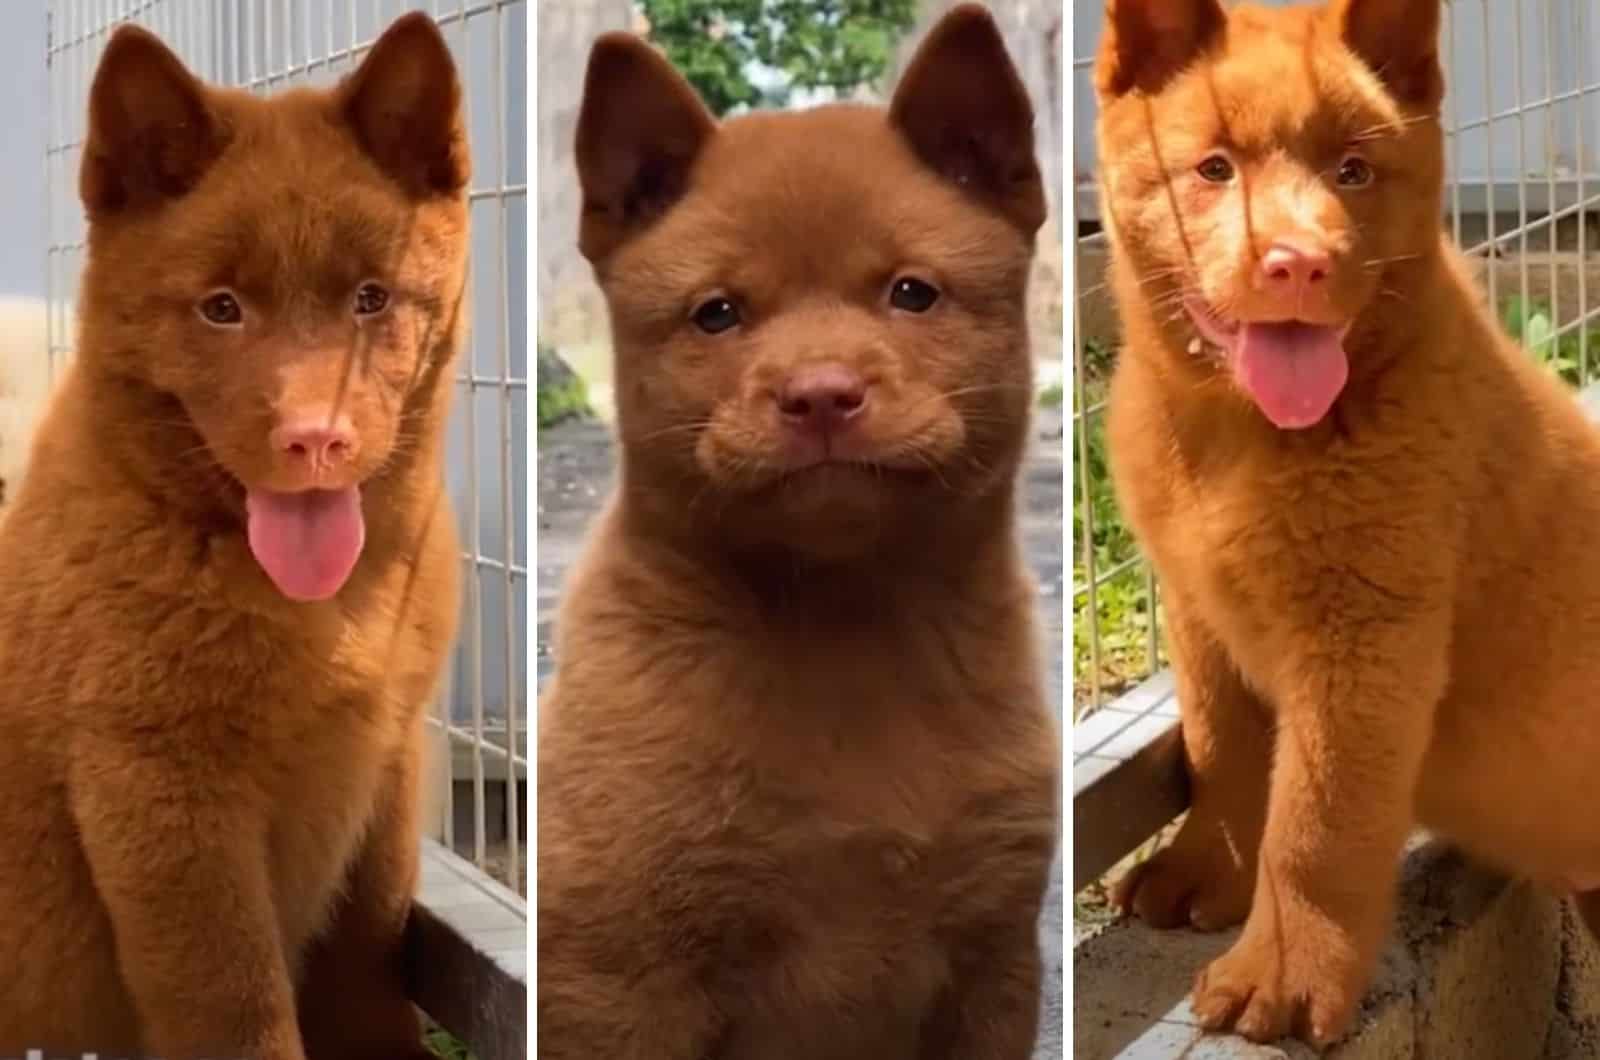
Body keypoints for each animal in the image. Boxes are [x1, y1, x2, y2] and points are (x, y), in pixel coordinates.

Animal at [0, 10, 467, 1060]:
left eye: (372, 298)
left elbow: (368, 948)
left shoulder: (386, 759)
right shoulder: (160, 792)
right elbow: (234, 1002)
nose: (316, 438)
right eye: (221, 308)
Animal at [534, 4, 1062, 1056]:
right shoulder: (619, 983)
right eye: (717, 314)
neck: (840, 625)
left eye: (912, 293)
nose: (820, 394)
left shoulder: (993, 962)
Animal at [1100, 0, 1600, 1050]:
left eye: (1355, 172)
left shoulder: (1367, 636)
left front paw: (1280, 979)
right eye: (1215, 167)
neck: (1234, 437)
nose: (1300, 264)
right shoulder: (1200, 614)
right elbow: (1222, 748)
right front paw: (1203, 870)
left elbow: (1317, 822)